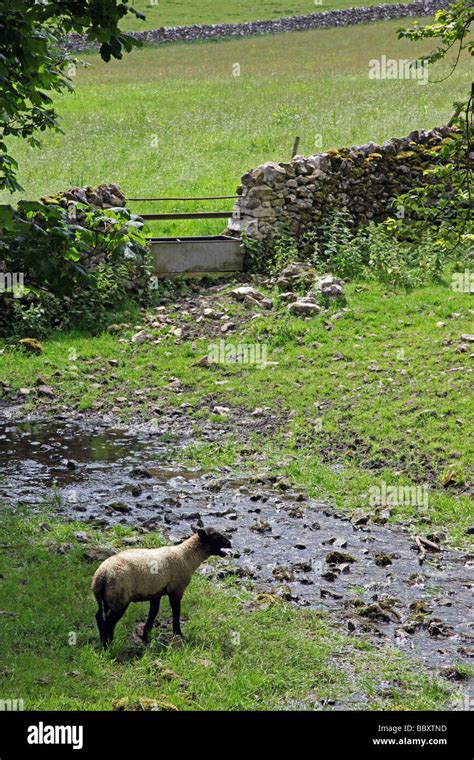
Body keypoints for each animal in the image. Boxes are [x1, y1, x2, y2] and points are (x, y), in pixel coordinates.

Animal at [90, 528, 231, 648]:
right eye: (216, 535)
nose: (229, 543)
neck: (186, 556)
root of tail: (102, 575)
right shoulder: (177, 589)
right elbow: (176, 612)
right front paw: (178, 634)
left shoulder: (156, 592)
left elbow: (153, 612)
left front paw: (145, 636)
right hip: (119, 597)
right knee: (109, 621)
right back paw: (107, 645)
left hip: (105, 598)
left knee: (99, 617)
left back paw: (105, 641)